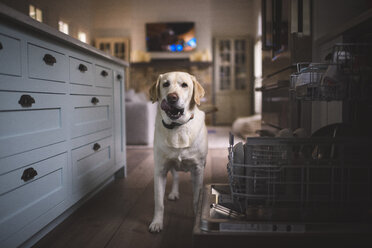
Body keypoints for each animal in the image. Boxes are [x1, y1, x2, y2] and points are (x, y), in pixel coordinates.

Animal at [148, 71, 208, 232]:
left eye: (184, 85)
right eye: (165, 84)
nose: (172, 97)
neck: (178, 127)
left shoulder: (198, 169)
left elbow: (197, 197)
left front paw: (196, 217)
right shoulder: (160, 170)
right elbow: (159, 203)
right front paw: (157, 222)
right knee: (175, 176)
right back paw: (174, 193)